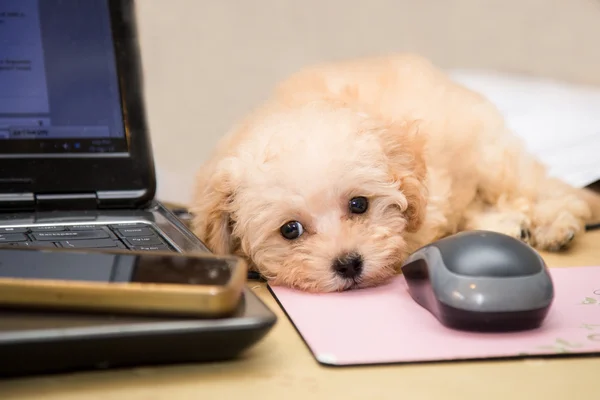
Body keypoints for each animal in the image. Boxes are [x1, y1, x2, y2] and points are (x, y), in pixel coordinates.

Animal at [190, 53, 596, 292]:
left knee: (542, 187)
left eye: (359, 204)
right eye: (290, 230)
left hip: (489, 156)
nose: (348, 264)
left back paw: (555, 224)